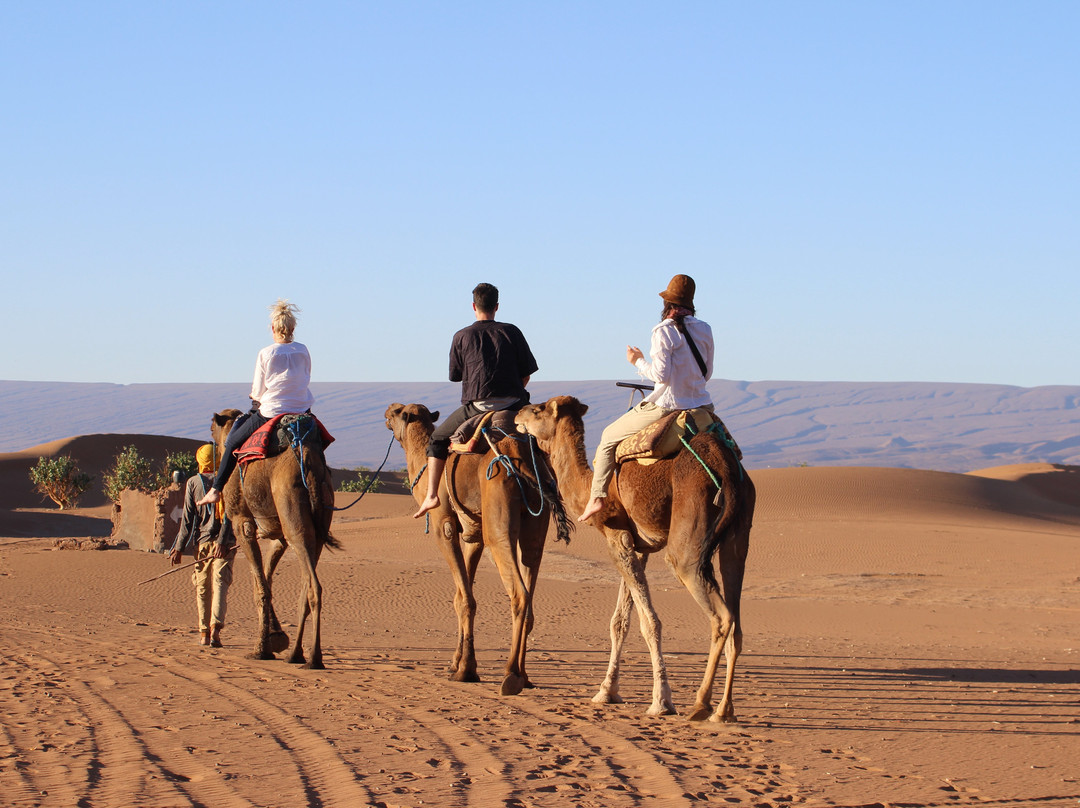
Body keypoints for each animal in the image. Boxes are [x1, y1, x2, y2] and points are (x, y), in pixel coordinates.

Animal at [206, 410, 332, 669]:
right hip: (318, 523)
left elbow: (260, 587)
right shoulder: (277, 534)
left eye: (212, 429)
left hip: (292, 514)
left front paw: (262, 649)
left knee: (314, 586)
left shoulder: (242, 522)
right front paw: (276, 638)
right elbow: (265, 577)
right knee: (306, 585)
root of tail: (310, 463)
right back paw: (295, 653)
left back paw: (313, 658)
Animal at [384, 404, 565, 695]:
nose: (386, 412)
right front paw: (456, 663)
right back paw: (525, 676)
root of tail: (522, 459)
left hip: (498, 518)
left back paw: (511, 675)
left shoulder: (443, 524)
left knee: (518, 593)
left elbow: (466, 599)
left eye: (397, 411)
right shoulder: (473, 534)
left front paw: (465, 670)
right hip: (535, 522)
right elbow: (462, 595)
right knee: (530, 579)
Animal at [511, 395, 751, 721]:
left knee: (721, 615)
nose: (517, 415)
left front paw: (661, 701)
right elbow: (620, 621)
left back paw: (701, 704)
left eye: (538, 410)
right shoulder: (637, 547)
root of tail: (724, 466)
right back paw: (724, 710)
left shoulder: (617, 538)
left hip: (689, 534)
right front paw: (606, 692)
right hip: (738, 535)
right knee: (736, 617)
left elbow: (649, 623)